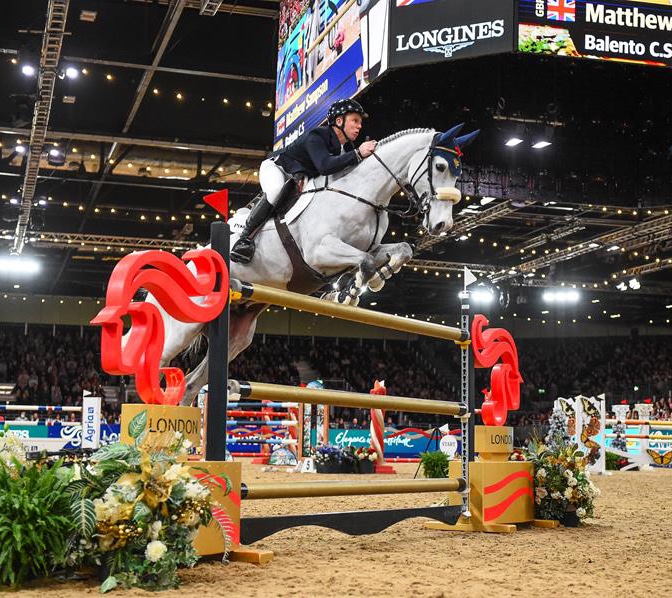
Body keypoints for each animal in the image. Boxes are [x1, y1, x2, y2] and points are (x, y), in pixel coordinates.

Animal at [138, 124, 478, 405]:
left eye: (459, 173)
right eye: (440, 166)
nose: (442, 225)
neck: (362, 194)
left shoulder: (367, 245)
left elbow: (400, 250)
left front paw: (369, 281)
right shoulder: (319, 251)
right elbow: (364, 261)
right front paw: (347, 292)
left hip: (236, 336)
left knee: (191, 385)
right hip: (178, 329)